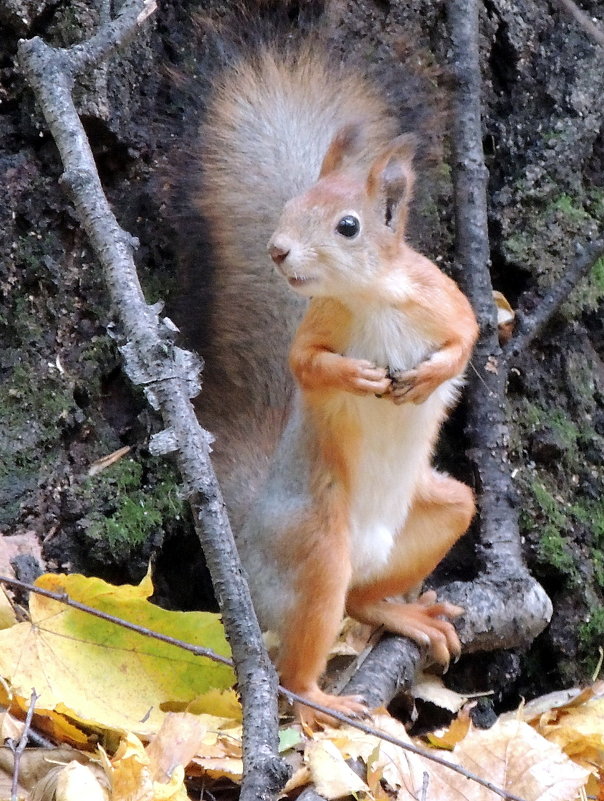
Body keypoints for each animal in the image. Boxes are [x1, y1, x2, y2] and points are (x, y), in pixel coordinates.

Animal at [177, 39, 478, 724]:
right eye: (290, 208)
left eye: (348, 225)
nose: (278, 249)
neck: (370, 298)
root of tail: (248, 546)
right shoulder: (318, 327)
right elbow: (305, 365)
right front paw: (357, 375)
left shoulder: (444, 300)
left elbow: (469, 339)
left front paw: (428, 376)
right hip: (317, 550)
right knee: (296, 667)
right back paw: (323, 701)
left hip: (440, 512)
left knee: (367, 594)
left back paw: (405, 614)